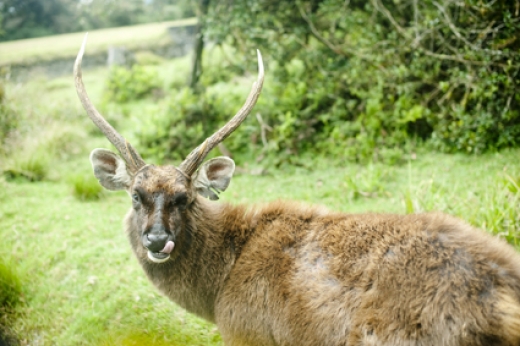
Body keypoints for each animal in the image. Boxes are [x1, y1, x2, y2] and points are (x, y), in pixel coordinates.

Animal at [72, 33, 520, 346]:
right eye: (136, 195)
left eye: (186, 197)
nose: (157, 239)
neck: (217, 292)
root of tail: (503, 302)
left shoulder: (248, 332)